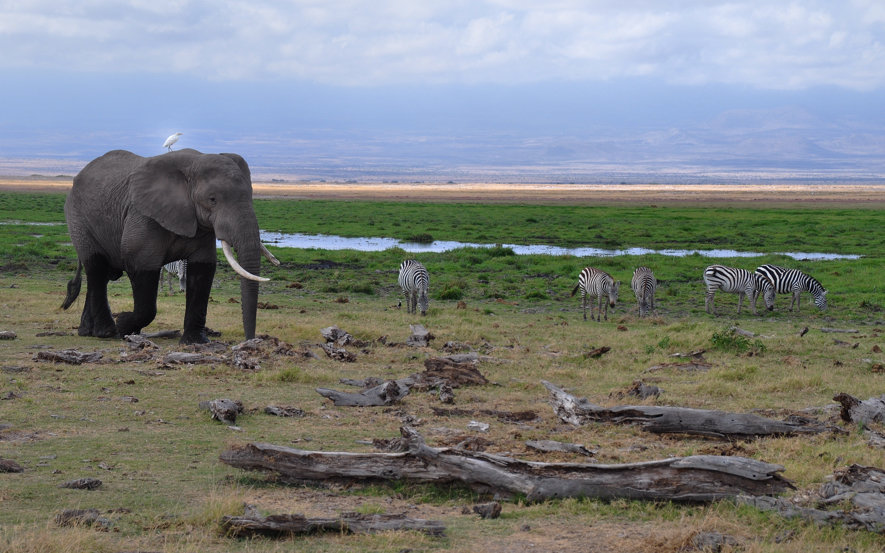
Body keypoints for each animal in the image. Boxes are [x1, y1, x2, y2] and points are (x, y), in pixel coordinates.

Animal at [61, 149, 278, 342]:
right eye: (212, 200)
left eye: (250, 195)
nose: (250, 340)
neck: (193, 165)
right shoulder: (143, 216)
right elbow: (140, 265)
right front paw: (123, 324)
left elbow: (203, 270)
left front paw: (196, 341)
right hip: (78, 219)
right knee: (96, 269)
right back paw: (106, 332)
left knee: (102, 275)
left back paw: (87, 332)